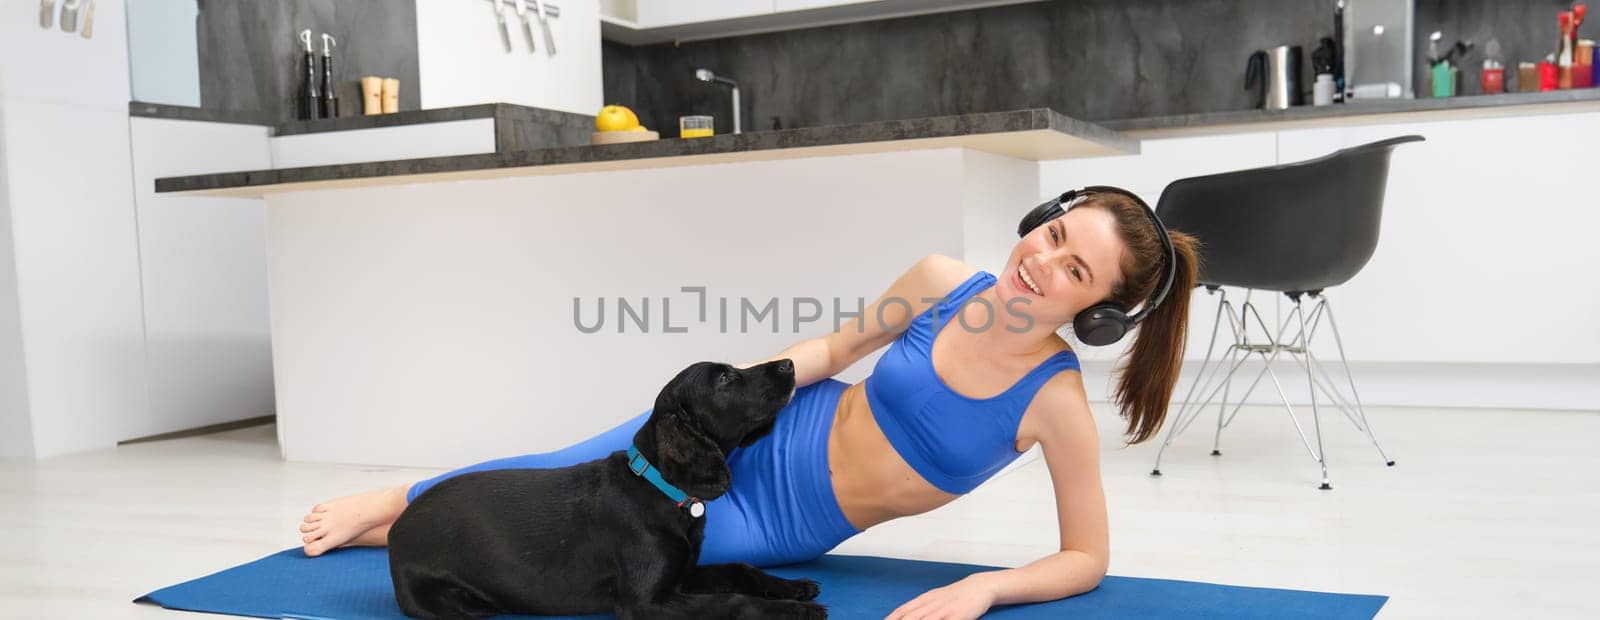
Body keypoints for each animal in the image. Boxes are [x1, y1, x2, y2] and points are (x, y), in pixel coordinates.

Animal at [385, 357, 825, 620]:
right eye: (726, 378)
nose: (789, 363)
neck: (658, 489)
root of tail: (395, 530)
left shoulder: (683, 575)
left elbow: (740, 569)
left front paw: (791, 588)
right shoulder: (644, 602)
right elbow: (732, 601)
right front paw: (794, 611)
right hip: (453, 604)